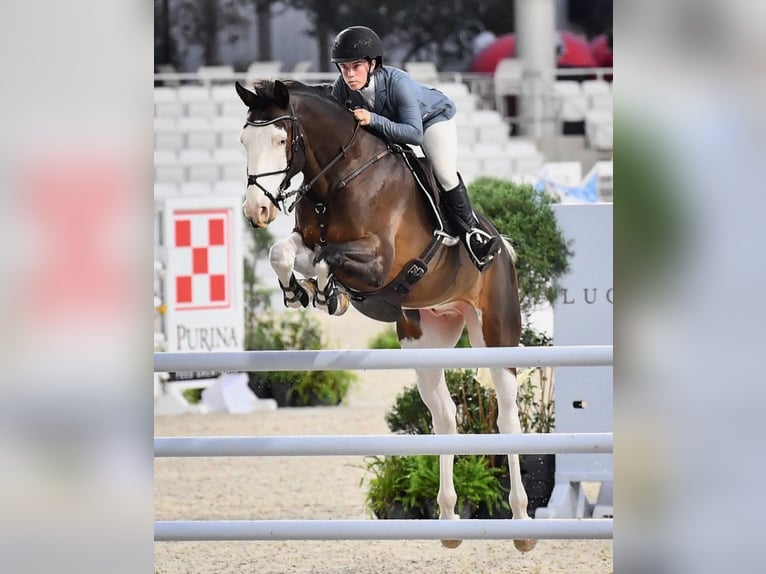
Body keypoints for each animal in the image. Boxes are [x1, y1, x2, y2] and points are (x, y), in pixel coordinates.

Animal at [234, 79, 536, 552]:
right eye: (245, 140)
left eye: (282, 140)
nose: (256, 212)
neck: (338, 178)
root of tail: (502, 244)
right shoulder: (304, 240)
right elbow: (284, 252)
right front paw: (300, 291)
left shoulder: (379, 261)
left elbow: (327, 258)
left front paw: (327, 292)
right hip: (424, 342)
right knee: (444, 416)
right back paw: (449, 521)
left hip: (497, 334)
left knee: (507, 416)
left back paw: (521, 524)